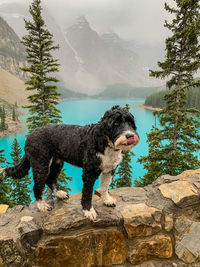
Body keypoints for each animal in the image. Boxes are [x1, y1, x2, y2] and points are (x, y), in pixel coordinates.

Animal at [0, 105, 139, 221]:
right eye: (116, 123)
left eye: (130, 123)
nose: (130, 135)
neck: (105, 142)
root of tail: (30, 135)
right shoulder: (89, 172)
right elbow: (87, 193)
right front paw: (88, 210)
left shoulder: (109, 169)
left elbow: (104, 187)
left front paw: (107, 200)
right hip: (41, 163)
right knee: (38, 186)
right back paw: (42, 205)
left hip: (57, 163)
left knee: (50, 179)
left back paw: (59, 194)